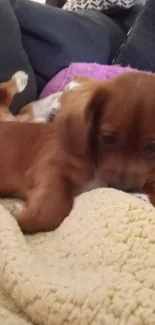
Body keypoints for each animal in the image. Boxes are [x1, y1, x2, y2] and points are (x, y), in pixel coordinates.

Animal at [0, 71, 155, 233]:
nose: (123, 188)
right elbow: (54, 208)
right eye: (107, 138)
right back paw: (21, 78)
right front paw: (17, 213)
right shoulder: (49, 167)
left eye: (152, 147)